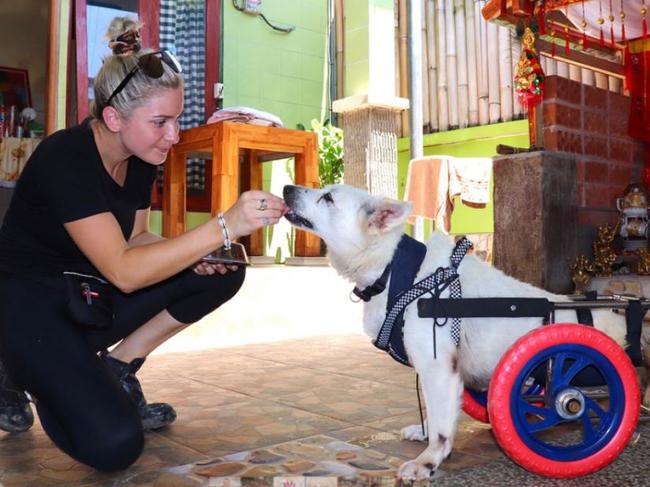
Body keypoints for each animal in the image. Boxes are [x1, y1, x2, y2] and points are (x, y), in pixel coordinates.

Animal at [280, 185, 644, 482]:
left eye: (328, 197)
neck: (396, 270)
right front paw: (424, 434)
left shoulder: (437, 368)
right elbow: (434, 413)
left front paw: (428, 461)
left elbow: (441, 427)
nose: (286, 188)